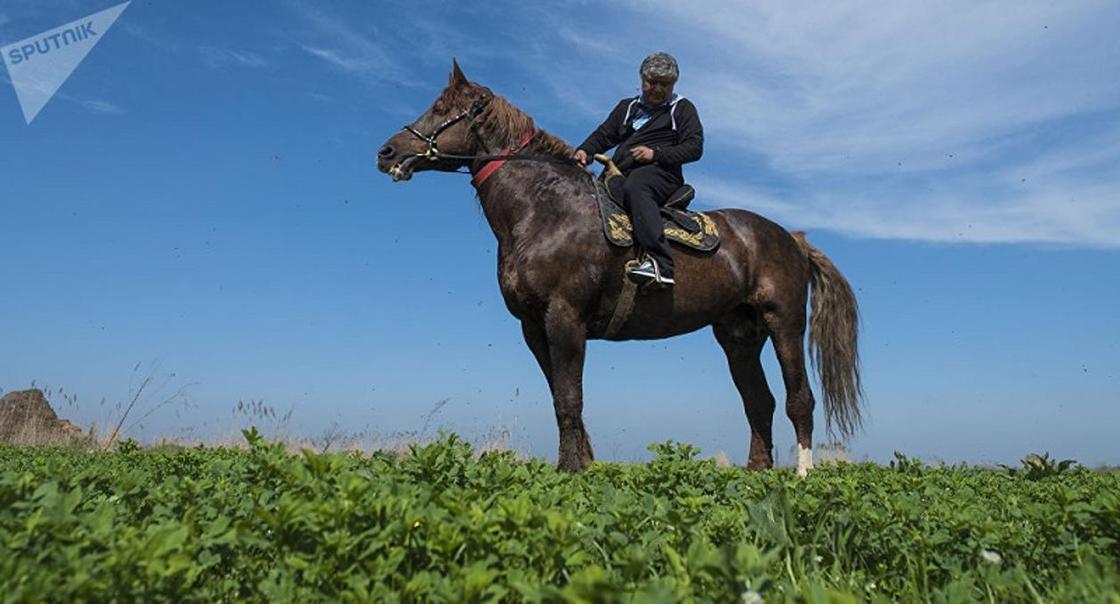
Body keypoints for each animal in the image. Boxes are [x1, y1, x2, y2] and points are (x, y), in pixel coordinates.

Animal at [380, 62, 860, 477]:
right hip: (739, 337)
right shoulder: (534, 328)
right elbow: (560, 397)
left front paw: (571, 470)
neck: (544, 209)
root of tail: (792, 238)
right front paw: (579, 463)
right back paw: (756, 473)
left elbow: (569, 399)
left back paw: (802, 474)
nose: (387, 152)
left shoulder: (565, 318)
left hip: (784, 324)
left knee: (799, 399)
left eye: (443, 108)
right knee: (759, 403)